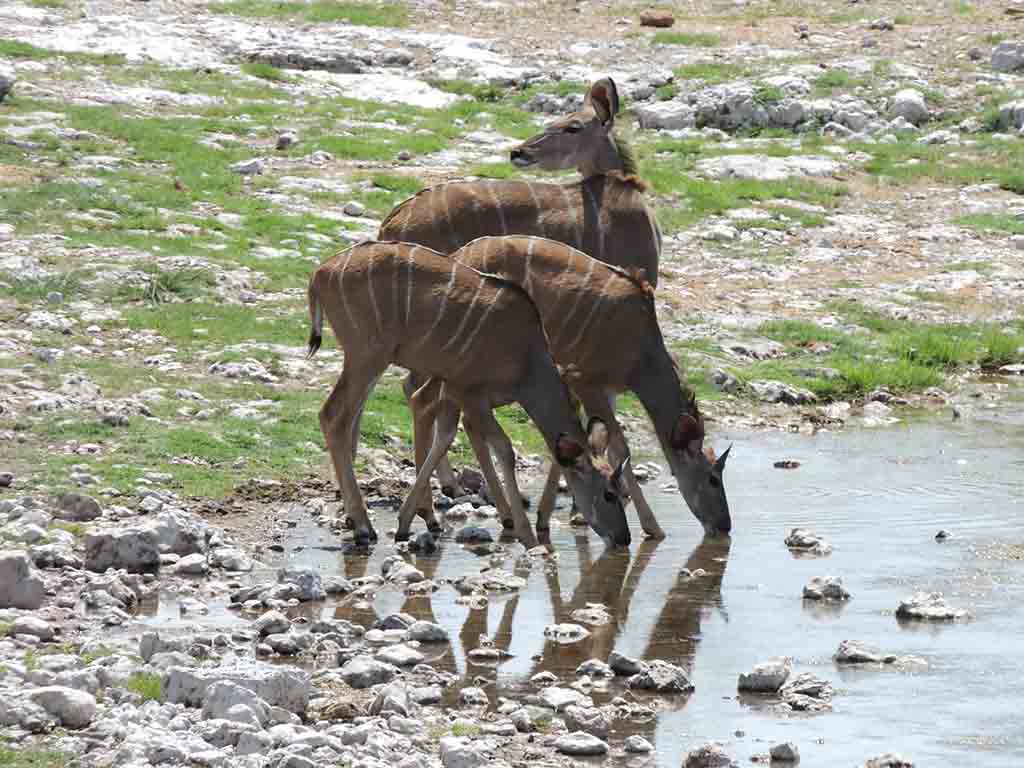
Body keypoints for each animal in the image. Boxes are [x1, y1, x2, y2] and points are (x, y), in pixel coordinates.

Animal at [303, 243, 630, 548]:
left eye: (621, 491)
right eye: (608, 494)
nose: (624, 538)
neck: (527, 356)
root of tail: (320, 273)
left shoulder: (457, 390)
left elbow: (447, 436)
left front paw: (408, 521)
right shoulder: (470, 392)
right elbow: (503, 448)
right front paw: (525, 534)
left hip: (369, 360)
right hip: (367, 356)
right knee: (333, 416)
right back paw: (362, 527)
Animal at [378, 79, 663, 528]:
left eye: (572, 125)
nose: (519, 152)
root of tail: (393, 221)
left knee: (419, 391)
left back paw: (450, 491)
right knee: (423, 393)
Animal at [411, 237, 733, 536]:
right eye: (713, 478)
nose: (725, 525)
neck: (641, 349)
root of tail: (460, 255)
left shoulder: (591, 387)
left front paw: (548, 517)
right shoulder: (587, 381)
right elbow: (619, 447)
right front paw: (652, 527)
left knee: (452, 415)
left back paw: (497, 514)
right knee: (423, 400)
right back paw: (429, 512)